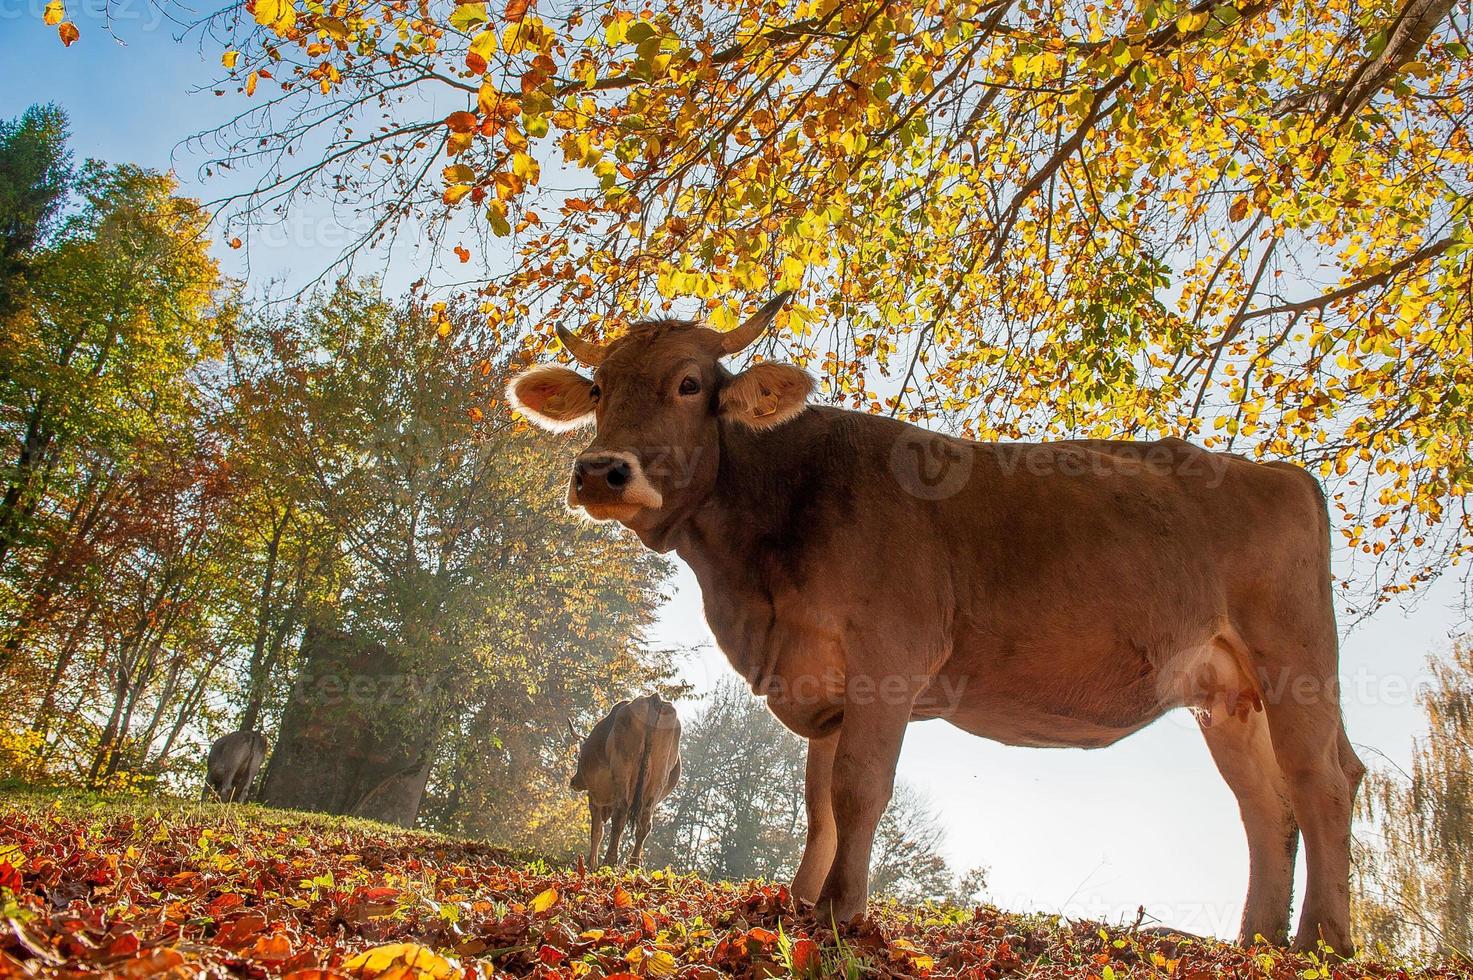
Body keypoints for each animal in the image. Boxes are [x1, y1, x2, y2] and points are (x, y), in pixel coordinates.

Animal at [568, 692, 683, 866]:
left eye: (579, 756)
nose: (574, 781)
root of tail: (654, 698)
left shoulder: (595, 798)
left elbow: (597, 832)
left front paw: (591, 863)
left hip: (623, 767)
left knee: (620, 812)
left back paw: (610, 860)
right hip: (659, 778)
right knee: (645, 821)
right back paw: (633, 864)